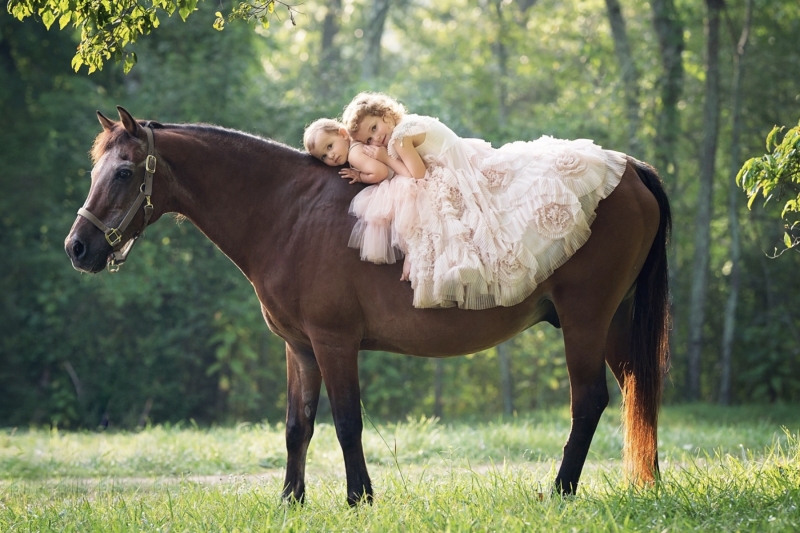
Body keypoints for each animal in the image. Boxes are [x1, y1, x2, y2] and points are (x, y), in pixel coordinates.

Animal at [65, 107, 671, 506]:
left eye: (124, 172)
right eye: (95, 171)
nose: (78, 247)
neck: (287, 211)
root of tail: (628, 168)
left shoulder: (334, 342)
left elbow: (347, 422)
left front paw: (360, 498)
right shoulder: (300, 349)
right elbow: (298, 426)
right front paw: (290, 502)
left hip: (584, 321)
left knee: (589, 401)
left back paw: (561, 491)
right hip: (611, 325)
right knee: (637, 394)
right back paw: (645, 482)